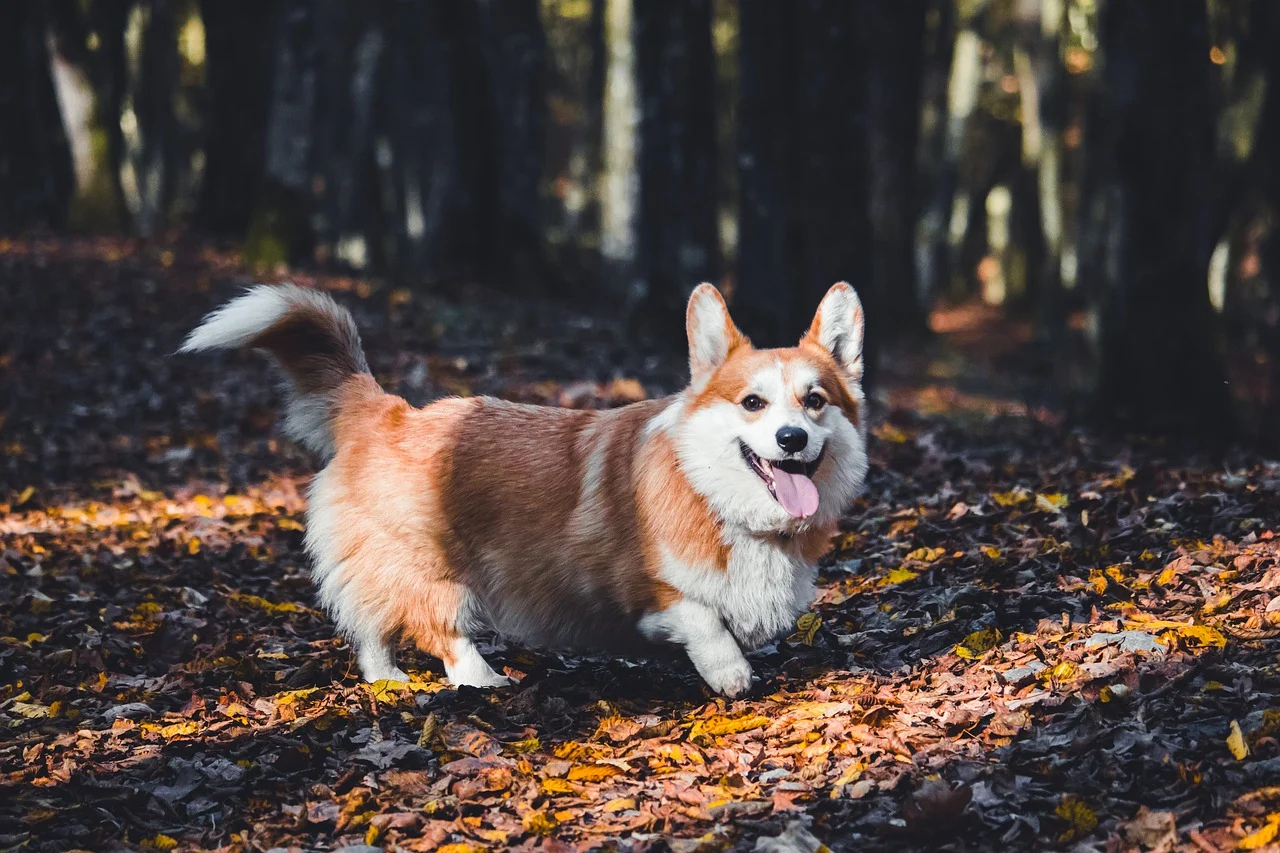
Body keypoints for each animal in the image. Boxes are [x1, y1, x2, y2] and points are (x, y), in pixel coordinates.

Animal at [185, 281, 870, 696]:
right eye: (753, 402)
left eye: (814, 401)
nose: (791, 440)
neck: (717, 497)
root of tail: (389, 412)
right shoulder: (643, 585)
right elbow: (703, 618)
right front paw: (730, 672)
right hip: (431, 564)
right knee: (437, 628)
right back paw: (484, 680)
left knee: (371, 628)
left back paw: (388, 681)